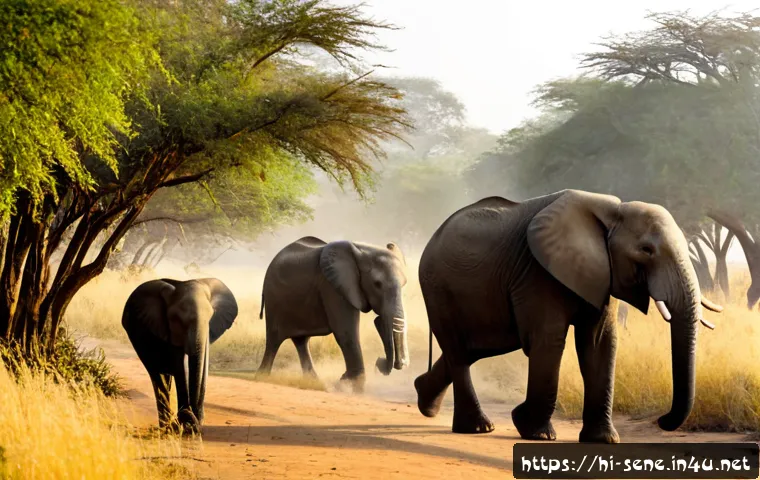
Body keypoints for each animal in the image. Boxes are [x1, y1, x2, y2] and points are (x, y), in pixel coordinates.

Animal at [122, 277, 238, 433]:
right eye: (176, 318)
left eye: (211, 316)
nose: (194, 416)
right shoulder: (168, 329)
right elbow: (179, 365)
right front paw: (185, 423)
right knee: (156, 375)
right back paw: (165, 426)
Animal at [257, 236, 410, 392]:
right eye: (377, 284)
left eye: (404, 284)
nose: (379, 362)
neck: (363, 250)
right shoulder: (332, 287)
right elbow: (345, 332)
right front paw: (351, 386)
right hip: (273, 299)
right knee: (274, 340)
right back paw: (262, 376)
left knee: (301, 342)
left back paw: (313, 381)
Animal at [413, 190, 722, 443]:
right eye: (646, 250)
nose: (661, 420)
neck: (613, 213)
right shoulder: (537, 272)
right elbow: (549, 340)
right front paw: (534, 431)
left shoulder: (602, 272)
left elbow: (599, 343)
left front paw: (603, 440)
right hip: (437, 288)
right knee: (459, 352)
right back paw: (477, 428)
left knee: (472, 350)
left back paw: (425, 401)